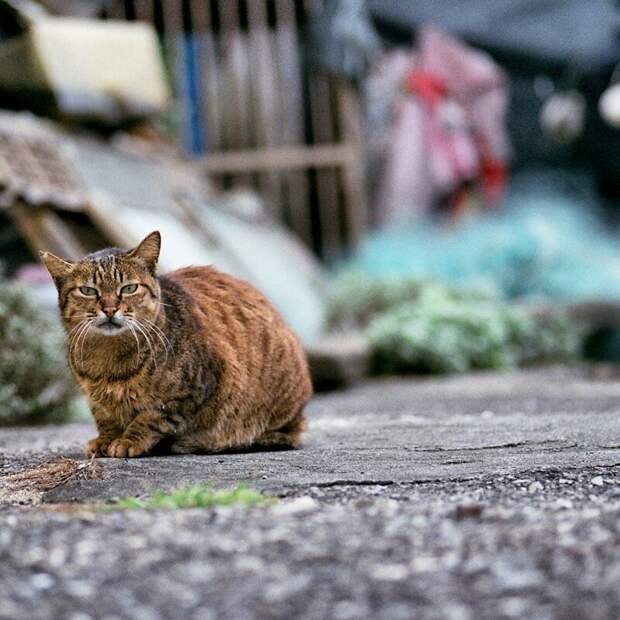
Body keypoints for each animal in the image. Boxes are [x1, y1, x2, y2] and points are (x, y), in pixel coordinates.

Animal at [40, 230, 310, 458]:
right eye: (88, 290)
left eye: (128, 288)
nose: (109, 309)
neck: (109, 361)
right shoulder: (96, 401)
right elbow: (105, 418)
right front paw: (105, 439)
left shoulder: (193, 391)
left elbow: (151, 416)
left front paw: (128, 440)